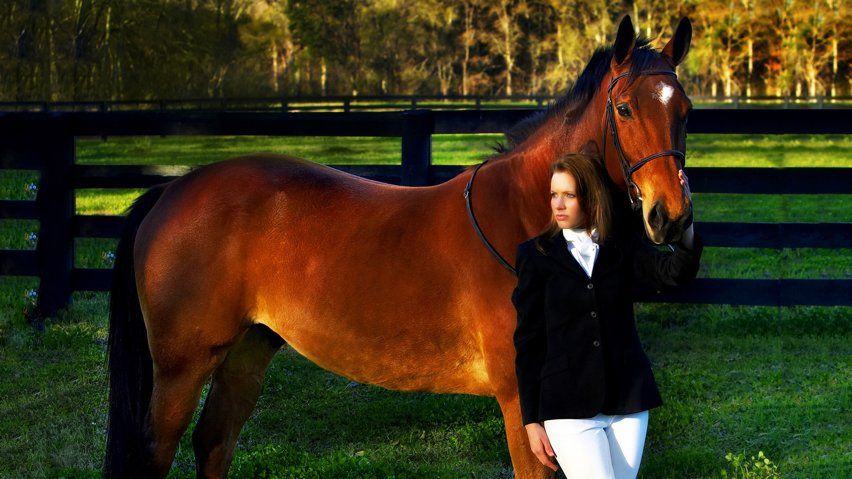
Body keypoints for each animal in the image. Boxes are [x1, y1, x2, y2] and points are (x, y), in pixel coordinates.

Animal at [105, 15, 694, 479]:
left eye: (684, 109)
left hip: (246, 350)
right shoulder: (522, 408)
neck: (525, 217)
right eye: (624, 109)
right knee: (159, 453)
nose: (670, 217)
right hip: (181, 367)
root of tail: (172, 189)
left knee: (214, 442)